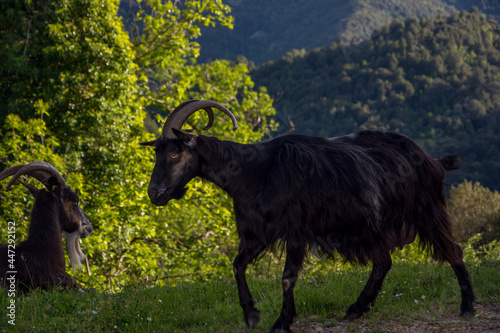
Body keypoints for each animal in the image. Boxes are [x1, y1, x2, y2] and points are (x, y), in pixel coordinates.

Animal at [140, 100, 472, 330]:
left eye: (174, 153)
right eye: (157, 153)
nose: (154, 194)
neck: (253, 172)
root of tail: (432, 160)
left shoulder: (297, 230)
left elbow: (287, 278)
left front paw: (281, 322)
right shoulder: (258, 232)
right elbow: (237, 265)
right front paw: (251, 314)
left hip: (427, 210)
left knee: (452, 250)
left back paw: (467, 305)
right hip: (371, 227)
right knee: (383, 262)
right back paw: (357, 308)